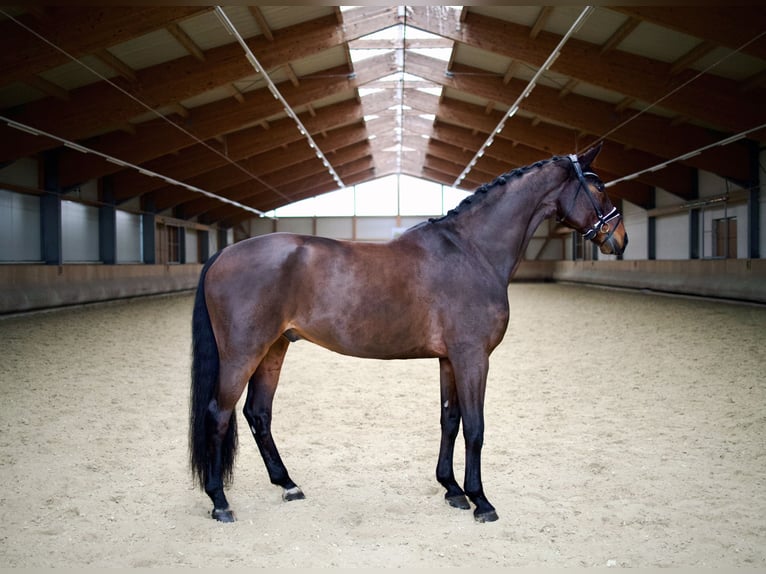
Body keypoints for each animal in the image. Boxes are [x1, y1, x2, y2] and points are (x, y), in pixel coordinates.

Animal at [189, 142, 628, 524]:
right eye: (599, 186)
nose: (619, 240)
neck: (472, 251)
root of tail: (223, 253)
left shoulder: (450, 359)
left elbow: (450, 420)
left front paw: (452, 490)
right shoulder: (473, 357)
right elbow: (475, 427)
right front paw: (481, 501)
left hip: (274, 348)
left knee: (257, 413)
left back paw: (288, 485)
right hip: (243, 353)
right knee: (219, 414)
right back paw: (220, 502)